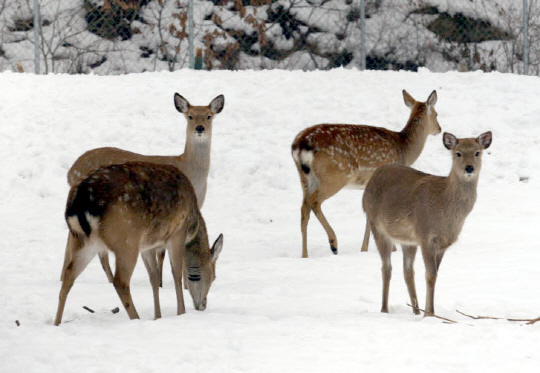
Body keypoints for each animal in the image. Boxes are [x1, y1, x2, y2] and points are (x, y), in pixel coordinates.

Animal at [53, 161, 223, 324]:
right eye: (214, 276)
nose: (202, 305)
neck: (193, 226)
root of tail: (80, 202)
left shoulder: (148, 245)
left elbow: (154, 278)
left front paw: (157, 316)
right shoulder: (177, 233)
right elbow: (176, 274)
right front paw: (181, 313)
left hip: (83, 240)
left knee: (69, 274)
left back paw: (56, 323)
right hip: (126, 238)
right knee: (120, 281)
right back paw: (136, 318)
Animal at [292, 91, 438, 258]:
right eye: (437, 114)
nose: (439, 129)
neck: (405, 150)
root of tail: (300, 144)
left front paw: (365, 248)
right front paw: (391, 248)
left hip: (305, 177)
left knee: (304, 208)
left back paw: (305, 255)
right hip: (337, 174)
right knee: (314, 201)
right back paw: (333, 243)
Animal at [362, 129, 494, 316]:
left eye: (477, 152)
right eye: (458, 153)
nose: (469, 168)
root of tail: (372, 179)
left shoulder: (442, 243)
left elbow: (434, 274)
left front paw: (428, 312)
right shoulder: (425, 236)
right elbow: (430, 275)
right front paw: (430, 314)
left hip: (407, 240)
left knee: (407, 271)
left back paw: (415, 310)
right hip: (377, 226)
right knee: (386, 268)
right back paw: (384, 309)